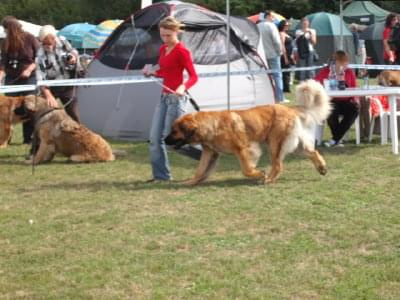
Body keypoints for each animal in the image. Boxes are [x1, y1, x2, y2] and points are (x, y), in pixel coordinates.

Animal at [165, 78, 332, 184]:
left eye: (173, 131)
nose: (163, 140)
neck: (211, 126)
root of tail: (290, 109)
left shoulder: (243, 148)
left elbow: (246, 169)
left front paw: (259, 175)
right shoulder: (210, 152)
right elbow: (200, 170)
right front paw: (190, 182)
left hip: (274, 144)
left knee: (278, 165)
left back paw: (268, 179)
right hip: (295, 144)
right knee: (313, 152)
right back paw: (322, 168)